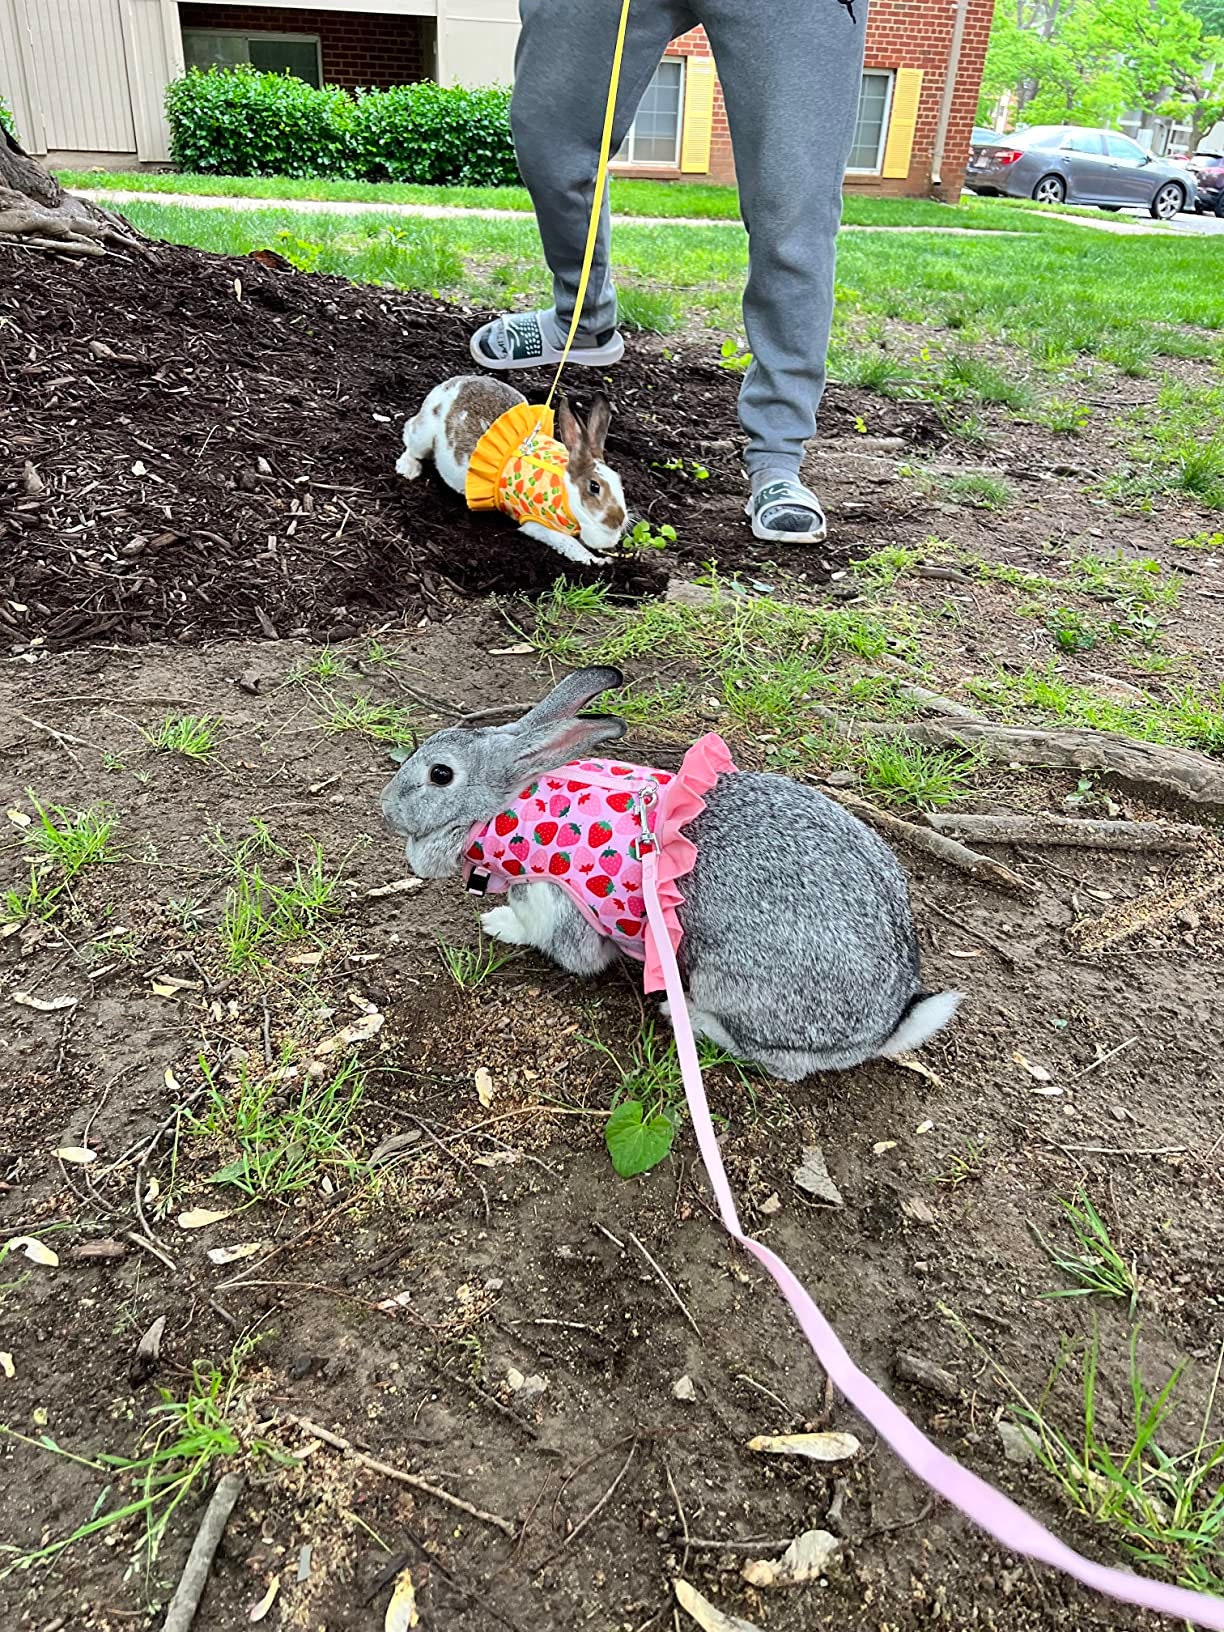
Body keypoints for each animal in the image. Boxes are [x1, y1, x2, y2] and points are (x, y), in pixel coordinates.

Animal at [380, 666, 960, 1083]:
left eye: (440, 775)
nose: (386, 807)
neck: (506, 805)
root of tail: (883, 1027)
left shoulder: (559, 907)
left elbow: (559, 946)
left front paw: (499, 924)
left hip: (727, 980)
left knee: (779, 1062)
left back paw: (685, 1016)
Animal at [396, 375, 628, 568]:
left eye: (619, 481)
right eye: (594, 487)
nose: (618, 520)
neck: (565, 492)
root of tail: (449, 384)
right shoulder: (536, 524)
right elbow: (568, 542)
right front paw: (596, 561)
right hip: (423, 436)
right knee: (409, 437)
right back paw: (408, 468)